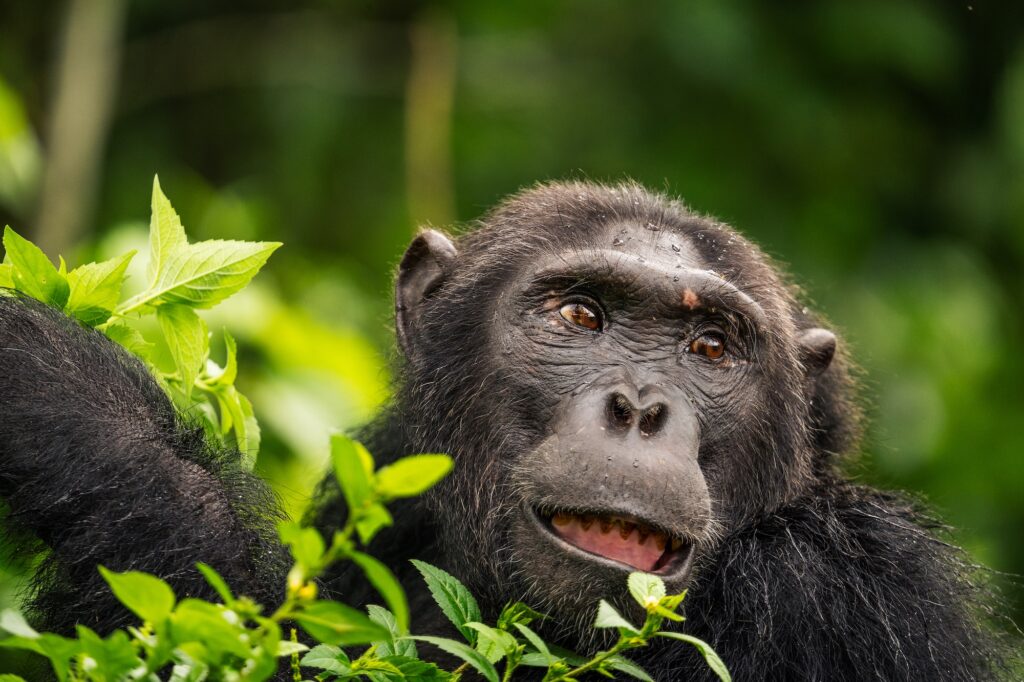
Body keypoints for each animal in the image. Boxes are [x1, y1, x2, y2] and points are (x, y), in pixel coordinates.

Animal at [0, 182, 1011, 679]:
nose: (640, 406)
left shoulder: (845, 592)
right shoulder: (382, 488)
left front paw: (79, 411)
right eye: (579, 317)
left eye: (711, 348)